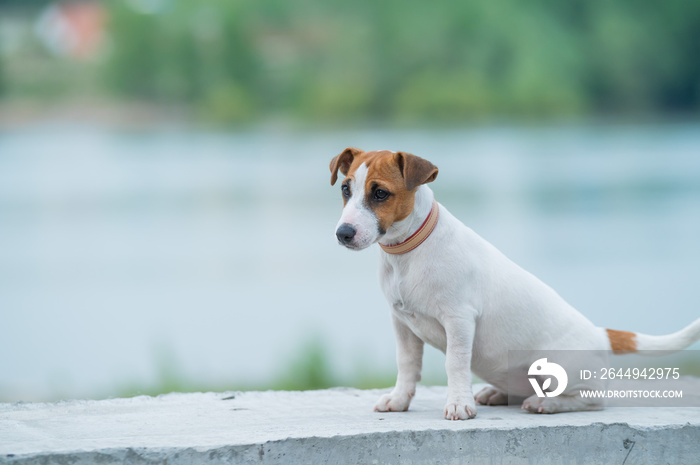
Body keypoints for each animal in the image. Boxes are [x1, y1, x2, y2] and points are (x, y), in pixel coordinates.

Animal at [330, 147, 700, 418]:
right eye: (346, 189)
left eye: (380, 193)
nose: (343, 234)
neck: (408, 252)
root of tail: (601, 334)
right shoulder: (402, 323)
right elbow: (407, 365)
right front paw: (399, 400)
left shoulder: (459, 319)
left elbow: (455, 363)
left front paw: (458, 403)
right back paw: (497, 392)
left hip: (563, 370)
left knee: (591, 400)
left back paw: (547, 403)